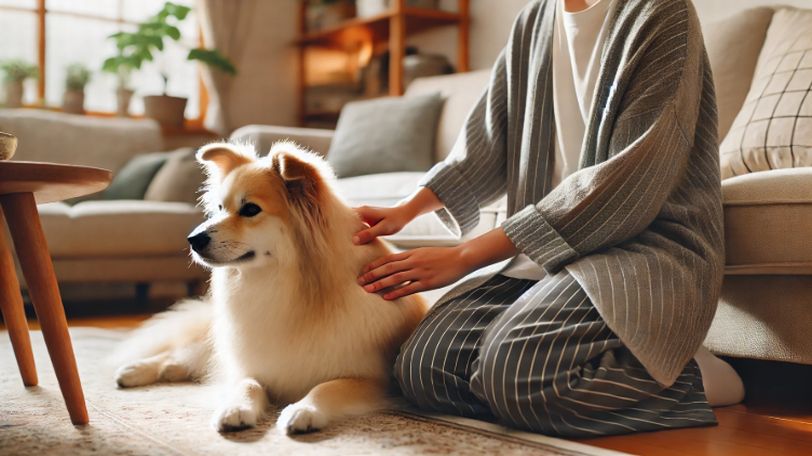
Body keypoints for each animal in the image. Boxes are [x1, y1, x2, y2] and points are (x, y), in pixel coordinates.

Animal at [118, 142, 432, 434]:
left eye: (250, 209)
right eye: (219, 208)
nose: (193, 239)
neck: (283, 286)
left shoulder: (374, 380)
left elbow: (329, 386)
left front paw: (304, 410)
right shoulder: (251, 362)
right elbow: (247, 383)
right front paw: (236, 408)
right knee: (181, 352)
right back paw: (135, 370)